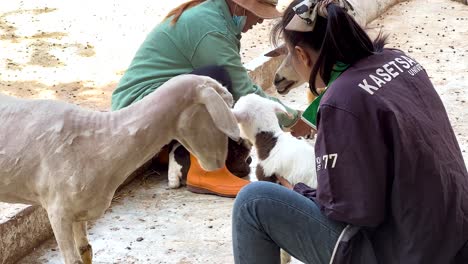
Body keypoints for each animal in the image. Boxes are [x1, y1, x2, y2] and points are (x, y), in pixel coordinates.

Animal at [0, 74, 239, 264]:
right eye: (224, 108)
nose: (218, 163)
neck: (103, 141)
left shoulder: (80, 209)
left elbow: (86, 251)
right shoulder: (58, 211)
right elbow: (73, 260)